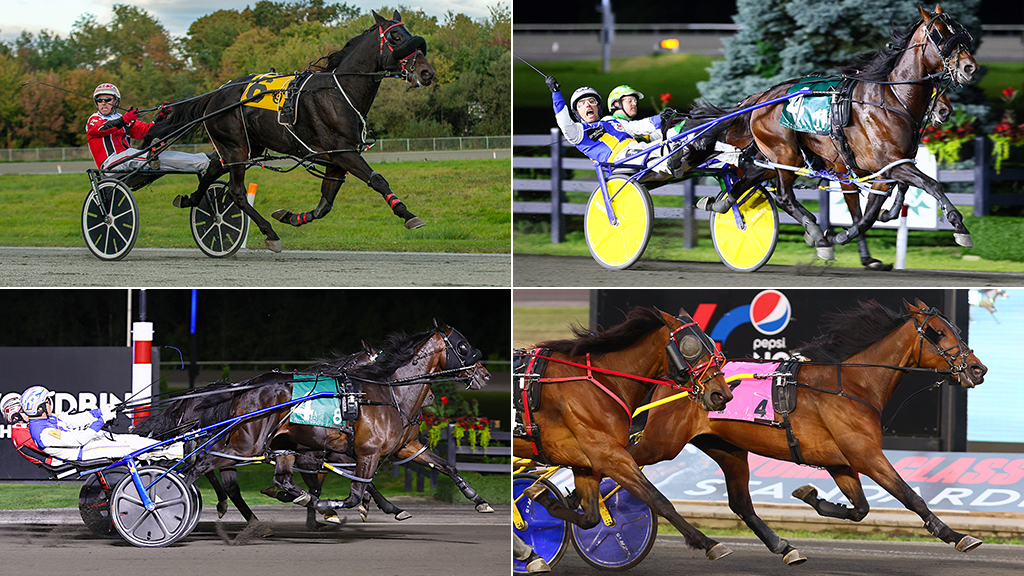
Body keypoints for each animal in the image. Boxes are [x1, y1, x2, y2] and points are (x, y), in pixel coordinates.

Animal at [142, 11, 434, 251]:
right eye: (396, 37)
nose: (427, 72)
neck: (338, 92)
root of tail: (215, 94)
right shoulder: (344, 153)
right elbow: (378, 180)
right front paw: (408, 215)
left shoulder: (337, 158)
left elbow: (325, 205)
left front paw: (290, 216)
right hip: (237, 148)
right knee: (236, 191)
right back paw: (268, 233)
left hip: (246, 146)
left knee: (213, 168)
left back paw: (192, 201)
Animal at [512, 307, 737, 557]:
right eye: (691, 347)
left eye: (712, 345)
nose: (721, 394)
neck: (600, 381)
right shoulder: (610, 456)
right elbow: (657, 499)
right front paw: (707, 542)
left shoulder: (586, 462)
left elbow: (591, 517)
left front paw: (544, 498)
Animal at [626, 295, 987, 561]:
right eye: (938, 332)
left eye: (956, 329)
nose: (977, 368)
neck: (853, 385)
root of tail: (675, 377)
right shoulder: (866, 454)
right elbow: (911, 496)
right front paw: (955, 535)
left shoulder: (841, 462)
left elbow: (860, 509)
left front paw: (810, 495)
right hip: (663, 442)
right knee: (624, 461)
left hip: (727, 449)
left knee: (741, 503)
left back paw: (782, 547)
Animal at [696, 3, 974, 260]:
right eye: (939, 34)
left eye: (961, 31)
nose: (970, 67)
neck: (892, 99)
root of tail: (762, 97)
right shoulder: (890, 163)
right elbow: (931, 184)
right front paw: (959, 225)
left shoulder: (887, 169)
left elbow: (870, 214)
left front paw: (848, 233)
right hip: (785, 154)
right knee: (784, 197)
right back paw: (816, 234)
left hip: (779, 158)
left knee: (750, 176)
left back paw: (721, 202)